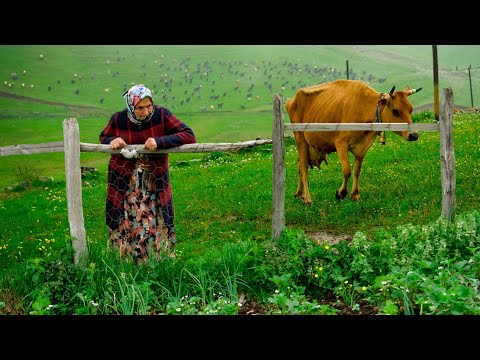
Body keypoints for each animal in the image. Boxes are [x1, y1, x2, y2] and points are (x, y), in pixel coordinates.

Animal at [284, 80, 420, 207]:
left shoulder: (363, 147)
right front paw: (341, 193)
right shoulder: (341, 144)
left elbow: (356, 171)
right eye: (395, 111)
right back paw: (307, 199)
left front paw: (355, 195)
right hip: (300, 139)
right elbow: (347, 170)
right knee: (303, 169)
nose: (414, 135)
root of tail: (291, 100)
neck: (363, 107)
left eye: (410, 109)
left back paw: (300, 194)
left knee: (300, 167)